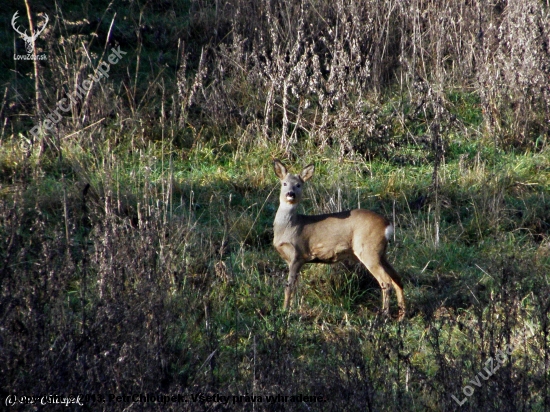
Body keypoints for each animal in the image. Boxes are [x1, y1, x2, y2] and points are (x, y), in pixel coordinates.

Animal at [274, 159, 408, 320]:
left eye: (299, 184)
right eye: (284, 183)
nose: (291, 194)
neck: (289, 227)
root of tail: (387, 226)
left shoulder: (298, 255)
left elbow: (289, 287)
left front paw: (285, 311)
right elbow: (293, 287)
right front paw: (290, 309)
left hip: (368, 249)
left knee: (386, 281)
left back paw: (385, 315)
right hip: (381, 253)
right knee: (397, 279)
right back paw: (401, 316)